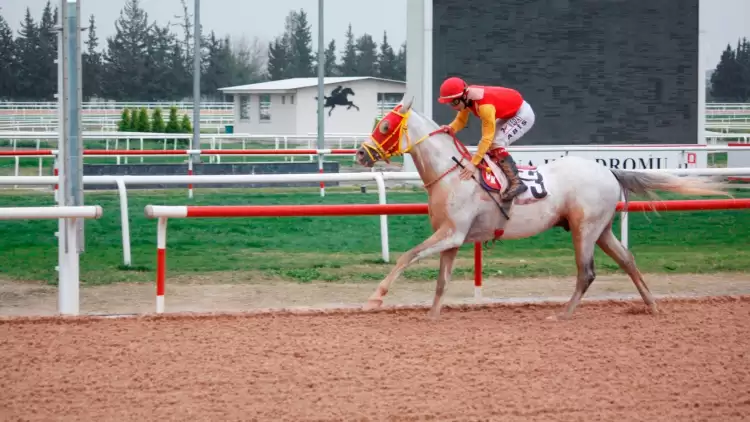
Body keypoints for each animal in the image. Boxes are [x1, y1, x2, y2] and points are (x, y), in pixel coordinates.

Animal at [356, 95, 736, 320]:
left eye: (385, 125)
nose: (360, 153)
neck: (452, 174)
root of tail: (609, 171)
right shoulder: (451, 237)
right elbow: (441, 280)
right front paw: (432, 315)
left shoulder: (452, 233)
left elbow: (407, 256)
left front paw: (375, 298)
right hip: (601, 229)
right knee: (627, 260)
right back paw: (652, 305)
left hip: (584, 228)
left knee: (587, 272)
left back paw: (564, 313)